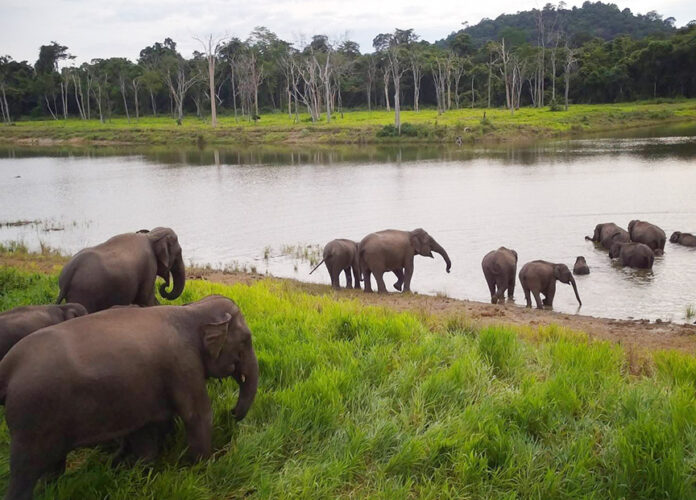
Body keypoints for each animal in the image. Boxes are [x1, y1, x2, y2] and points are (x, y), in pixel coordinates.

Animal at [0, 295, 258, 500]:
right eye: (246, 340)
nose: (233, 413)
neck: (191, 310)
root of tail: (8, 365)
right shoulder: (183, 364)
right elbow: (197, 415)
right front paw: (204, 470)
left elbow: (148, 430)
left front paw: (137, 473)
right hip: (31, 418)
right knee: (25, 470)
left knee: (52, 464)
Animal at [56, 227, 185, 313]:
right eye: (179, 253)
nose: (165, 285)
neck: (150, 236)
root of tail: (69, 274)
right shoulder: (149, 265)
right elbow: (146, 299)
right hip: (84, 293)